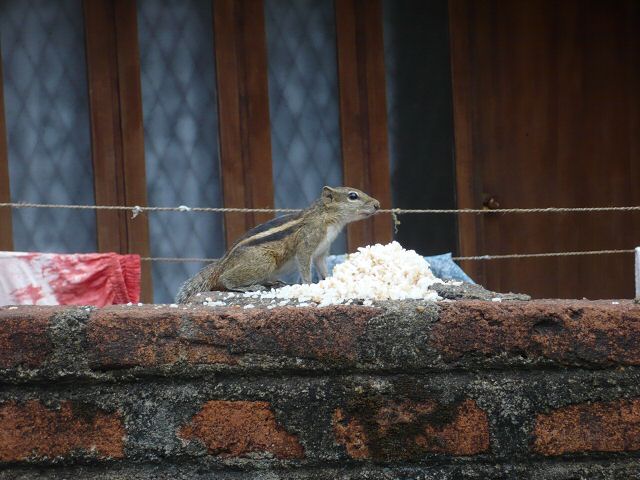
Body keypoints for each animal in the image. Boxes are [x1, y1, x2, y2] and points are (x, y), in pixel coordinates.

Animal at [175, 186, 380, 302]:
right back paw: (248, 286)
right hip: (264, 261)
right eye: (353, 196)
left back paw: (271, 282)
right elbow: (304, 265)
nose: (378, 204)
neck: (327, 218)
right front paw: (309, 285)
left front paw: (328, 280)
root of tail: (223, 262)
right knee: (226, 280)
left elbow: (322, 267)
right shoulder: (306, 245)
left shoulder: (321, 252)